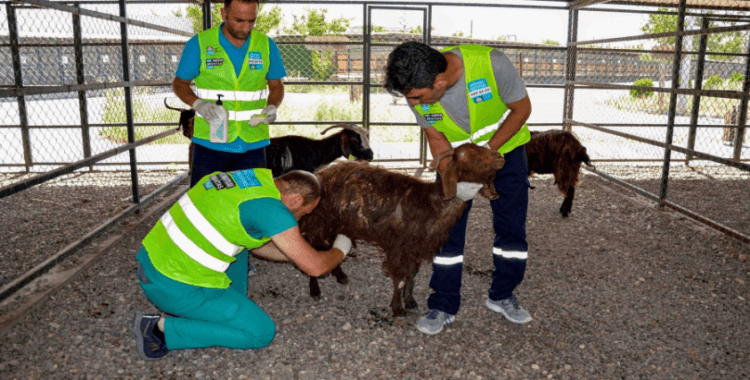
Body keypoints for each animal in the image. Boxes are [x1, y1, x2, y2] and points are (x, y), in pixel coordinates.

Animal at [298, 144, 506, 316]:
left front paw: (411, 302)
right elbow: (399, 278)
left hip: (333, 224)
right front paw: (398, 308)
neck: (431, 203)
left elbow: (412, 277)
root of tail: (320, 174)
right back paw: (315, 289)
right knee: (312, 254)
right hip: (316, 223)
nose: (498, 156)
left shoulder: (415, 248)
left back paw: (340, 275)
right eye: (462, 154)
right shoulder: (398, 246)